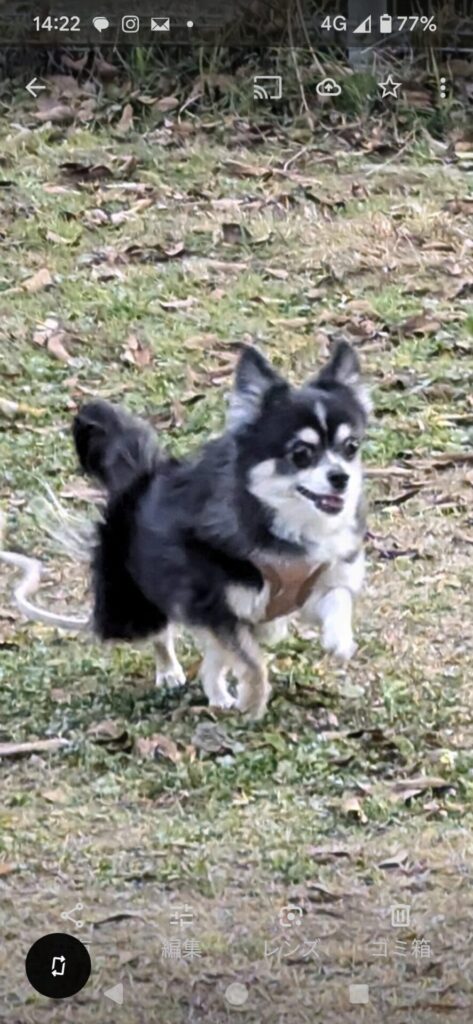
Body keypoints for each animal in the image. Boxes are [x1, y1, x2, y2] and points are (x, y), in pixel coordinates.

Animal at [71, 340, 370, 720]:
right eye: (301, 453)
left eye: (351, 447)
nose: (341, 478)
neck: (283, 523)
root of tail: (142, 478)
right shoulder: (217, 609)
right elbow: (253, 663)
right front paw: (254, 704)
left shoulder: (305, 590)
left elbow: (338, 597)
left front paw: (339, 640)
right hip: (131, 610)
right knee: (161, 634)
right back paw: (170, 672)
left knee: (214, 661)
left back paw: (217, 696)